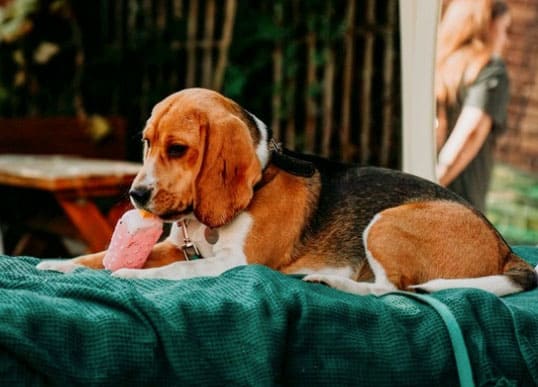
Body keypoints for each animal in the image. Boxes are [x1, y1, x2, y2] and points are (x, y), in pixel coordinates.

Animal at [37, 88, 536, 298]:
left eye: (178, 149)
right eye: (146, 142)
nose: (136, 195)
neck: (259, 180)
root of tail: (505, 247)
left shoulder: (235, 263)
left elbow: (171, 273)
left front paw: (129, 276)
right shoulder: (180, 247)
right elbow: (98, 255)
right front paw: (64, 265)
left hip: (387, 222)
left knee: (391, 291)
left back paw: (332, 282)